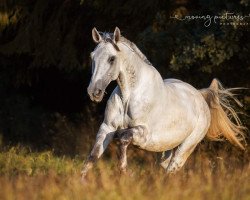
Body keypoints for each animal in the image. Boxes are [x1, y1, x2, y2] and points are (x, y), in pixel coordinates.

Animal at [81, 27, 244, 179]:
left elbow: (123, 139)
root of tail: (200, 96)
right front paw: (82, 182)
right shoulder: (107, 128)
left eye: (111, 59)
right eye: (92, 56)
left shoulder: (143, 134)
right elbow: (92, 157)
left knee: (171, 170)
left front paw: (125, 172)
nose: (94, 92)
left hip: (186, 147)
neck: (128, 97)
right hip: (164, 150)